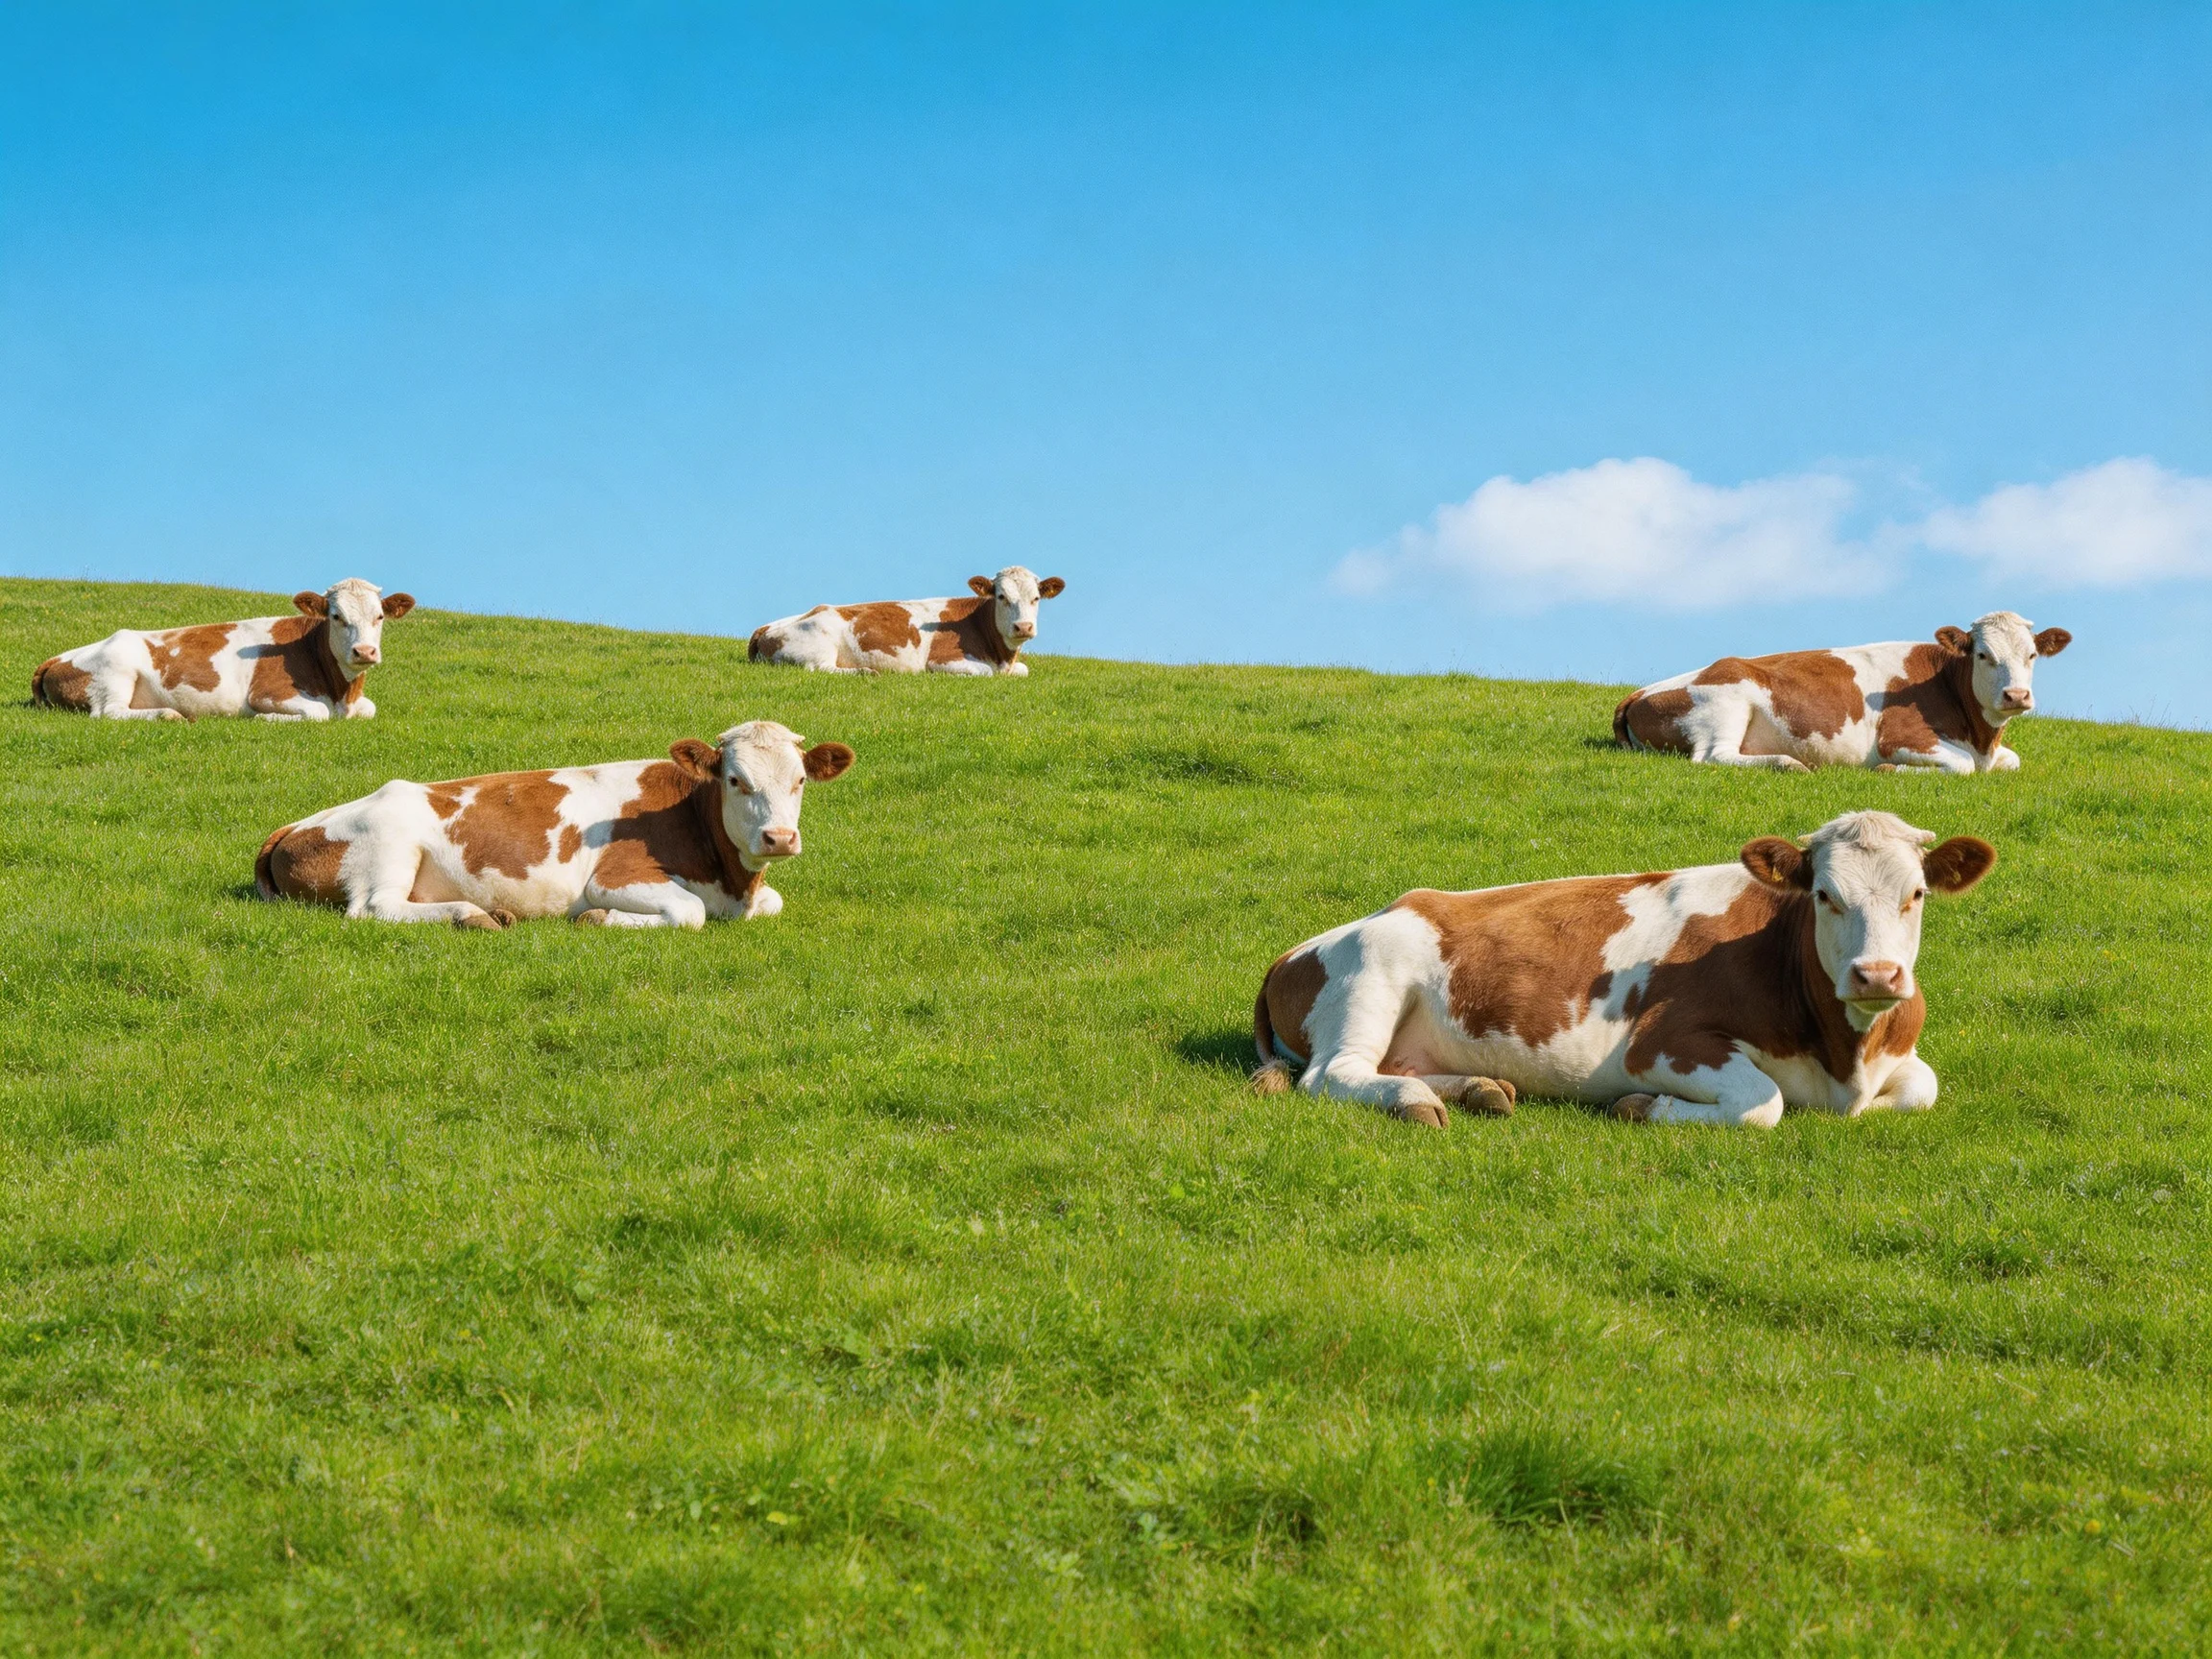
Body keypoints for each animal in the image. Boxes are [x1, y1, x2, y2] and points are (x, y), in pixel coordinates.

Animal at [32, 579, 417, 723]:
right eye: (336, 616)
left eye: (380, 616)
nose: (364, 652)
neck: (341, 693)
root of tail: (57, 657)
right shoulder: (268, 693)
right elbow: (317, 713)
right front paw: (265, 720)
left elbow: (369, 709)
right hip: (116, 669)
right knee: (108, 712)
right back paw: (168, 714)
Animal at [254, 720, 855, 930]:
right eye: (735, 779)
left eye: (801, 779)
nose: (779, 838)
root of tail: (296, 824)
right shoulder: (613, 877)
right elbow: (688, 913)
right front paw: (596, 919)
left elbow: (772, 903)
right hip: (389, 844)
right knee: (374, 909)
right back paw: (473, 916)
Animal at [748, 566, 1066, 676]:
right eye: (1001, 596)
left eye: (1036, 598)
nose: (1023, 627)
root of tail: (765, 628)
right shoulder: (942, 660)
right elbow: (985, 673)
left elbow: (1023, 670)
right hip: (817, 645)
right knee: (819, 669)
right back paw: (866, 672)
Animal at [1250, 810, 1995, 1130]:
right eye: (1824, 895)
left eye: (1917, 894)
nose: (1878, 976)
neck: (1846, 1061)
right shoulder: (1662, 1043)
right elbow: (1764, 1103)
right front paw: (1641, 1107)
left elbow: (1922, 1088)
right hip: (1371, 978)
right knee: (1334, 1076)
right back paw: (1417, 1102)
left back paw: (1478, 1089)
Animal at [1612, 611, 2071, 773]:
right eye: (1982, 654)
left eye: (2032, 655)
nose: (2016, 696)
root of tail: (1641, 691)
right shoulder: (1899, 737)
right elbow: (1961, 767)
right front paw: (1888, 771)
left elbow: (2011, 762)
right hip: (1726, 700)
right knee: (1713, 757)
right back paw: (1788, 763)